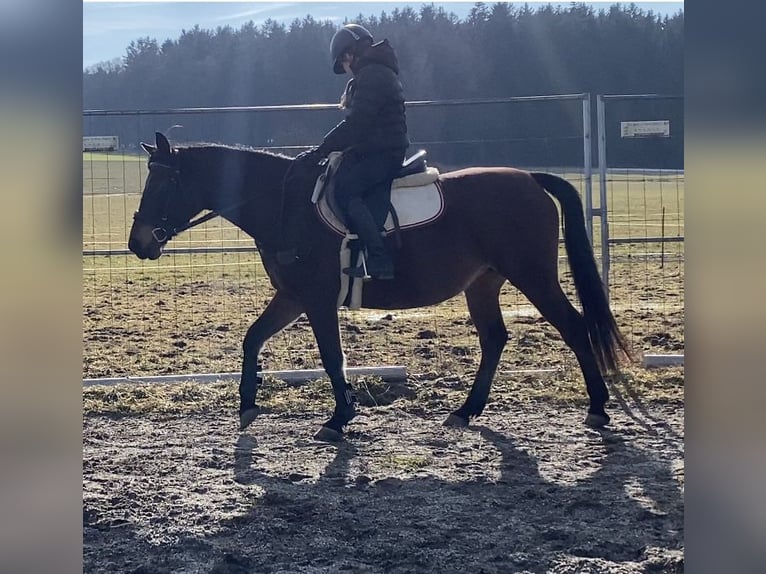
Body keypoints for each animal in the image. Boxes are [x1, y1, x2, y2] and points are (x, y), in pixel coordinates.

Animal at [127, 133, 632, 444]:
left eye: (165, 182)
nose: (138, 243)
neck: (284, 203)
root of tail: (528, 178)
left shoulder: (315, 299)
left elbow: (332, 357)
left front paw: (339, 419)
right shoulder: (292, 296)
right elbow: (252, 339)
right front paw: (248, 406)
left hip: (533, 275)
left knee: (573, 327)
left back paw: (598, 408)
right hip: (484, 284)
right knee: (494, 339)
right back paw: (466, 411)